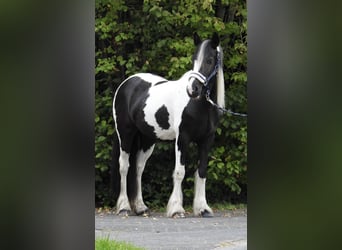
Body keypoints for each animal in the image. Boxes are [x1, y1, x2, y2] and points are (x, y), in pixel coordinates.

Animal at [112, 32, 224, 217]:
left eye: (209, 60)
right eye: (194, 59)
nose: (193, 89)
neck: (199, 105)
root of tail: (125, 84)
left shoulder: (207, 140)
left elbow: (201, 171)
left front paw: (203, 208)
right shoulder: (182, 139)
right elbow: (179, 172)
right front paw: (176, 209)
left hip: (148, 139)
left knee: (138, 168)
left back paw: (141, 207)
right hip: (125, 134)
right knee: (124, 166)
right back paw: (124, 207)